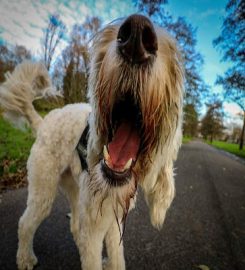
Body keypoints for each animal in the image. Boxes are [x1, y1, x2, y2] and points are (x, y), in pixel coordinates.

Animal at [0, 14, 184, 270]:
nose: (136, 36)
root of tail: (44, 121)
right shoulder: (96, 225)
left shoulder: (113, 221)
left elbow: (117, 257)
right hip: (43, 188)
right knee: (25, 223)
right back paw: (25, 258)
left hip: (74, 189)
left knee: (75, 225)